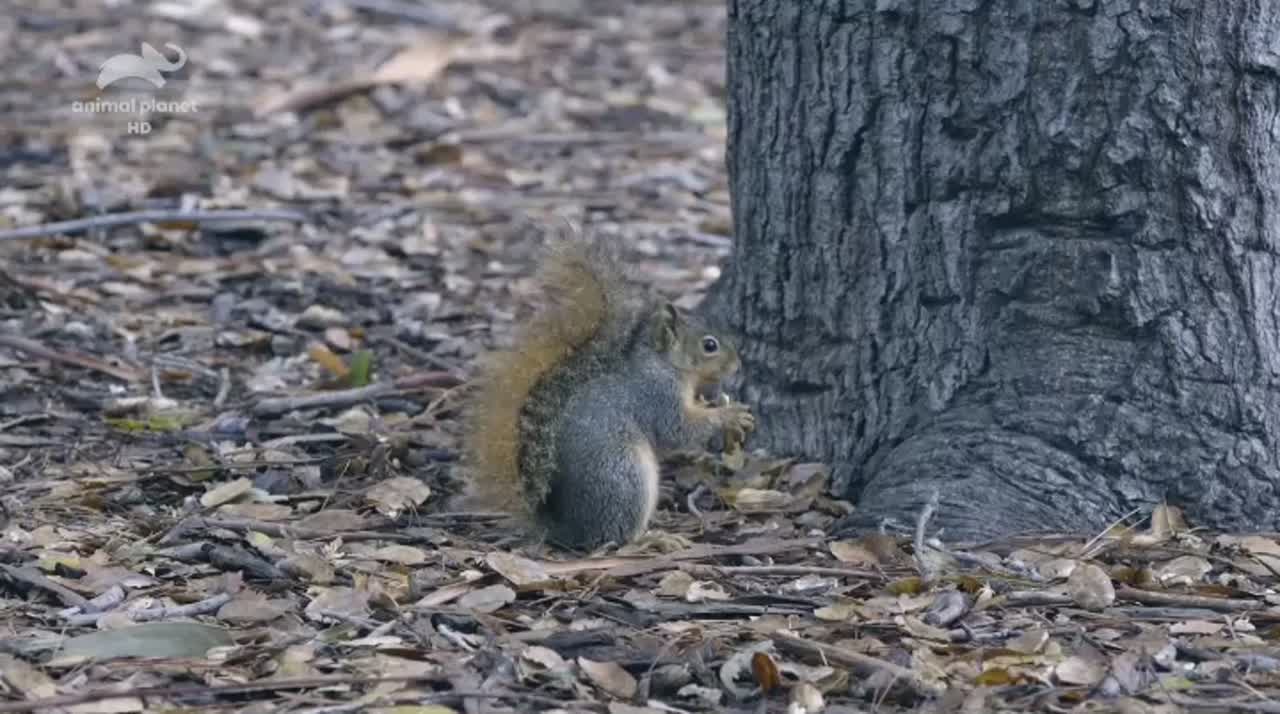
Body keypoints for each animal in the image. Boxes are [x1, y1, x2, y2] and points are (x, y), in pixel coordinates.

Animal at [462, 235, 754, 551]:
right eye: (709, 345)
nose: (738, 366)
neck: (665, 364)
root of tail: (568, 529)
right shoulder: (656, 395)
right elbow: (678, 429)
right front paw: (729, 415)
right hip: (626, 477)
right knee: (617, 537)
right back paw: (653, 539)